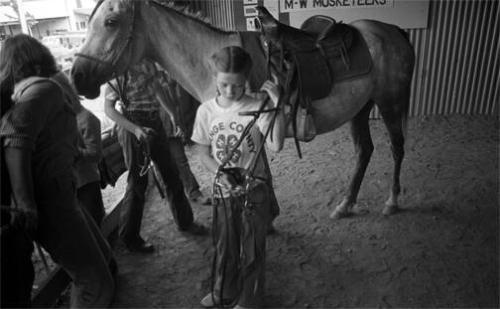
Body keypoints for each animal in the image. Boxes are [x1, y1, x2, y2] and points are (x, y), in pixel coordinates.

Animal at [70, 0, 414, 218]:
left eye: (111, 22)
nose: (77, 77)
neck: (216, 62)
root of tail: (393, 30)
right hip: (361, 109)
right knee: (365, 151)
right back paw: (345, 205)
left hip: (390, 103)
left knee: (397, 148)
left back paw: (393, 201)